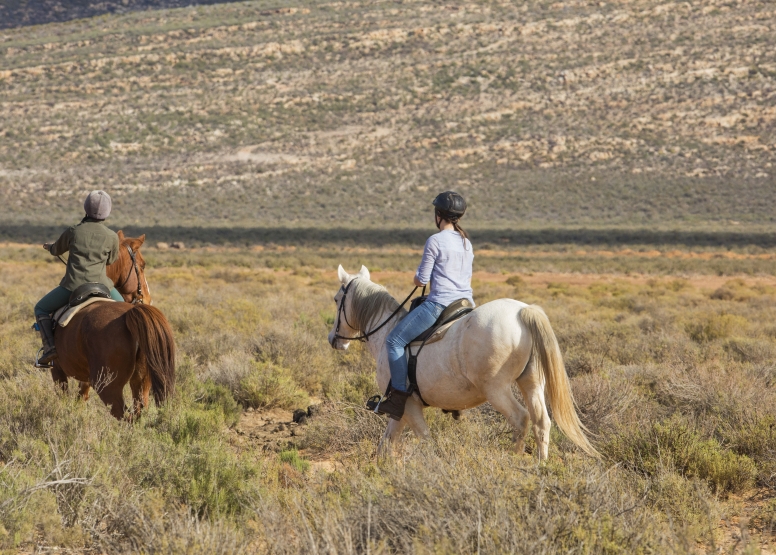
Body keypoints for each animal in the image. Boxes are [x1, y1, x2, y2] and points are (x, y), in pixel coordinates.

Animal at [52, 232, 177, 420]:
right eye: (142, 265)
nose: (148, 298)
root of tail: (129, 315)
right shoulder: (83, 376)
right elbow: (81, 396)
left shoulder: (57, 369)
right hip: (141, 383)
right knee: (138, 411)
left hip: (109, 387)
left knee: (124, 415)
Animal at [328, 264, 600, 460]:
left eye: (336, 299)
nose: (334, 339)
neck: (386, 333)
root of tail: (522, 312)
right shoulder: (401, 410)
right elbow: (386, 444)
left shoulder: (409, 406)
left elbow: (424, 439)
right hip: (531, 383)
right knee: (541, 422)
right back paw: (541, 466)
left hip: (497, 390)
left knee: (520, 419)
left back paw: (515, 461)